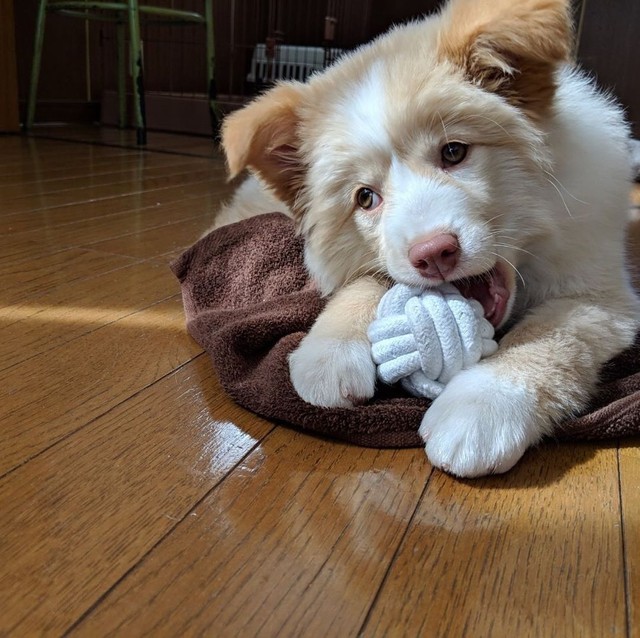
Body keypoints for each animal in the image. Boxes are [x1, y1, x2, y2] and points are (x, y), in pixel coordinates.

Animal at [214, 0, 640, 478]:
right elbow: (367, 280)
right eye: (365, 198)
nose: (434, 254)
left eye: (453, 152)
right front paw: (328, 353)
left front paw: (482, 409)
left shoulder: (599, 293)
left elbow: (549, 337)